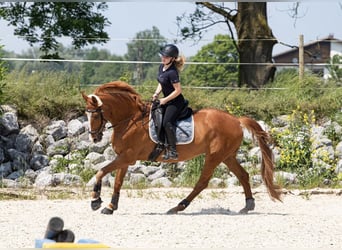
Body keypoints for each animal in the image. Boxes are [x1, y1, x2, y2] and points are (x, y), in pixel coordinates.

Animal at [82, 81, 280, 214]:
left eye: (95, 115)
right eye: (86, 114)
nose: (94, 137)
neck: (131, 120)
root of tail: (236, 120)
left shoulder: (127, 157)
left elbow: (100, 171)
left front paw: (95, 201)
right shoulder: (124, 158)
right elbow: (117, 182)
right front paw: (110, 206)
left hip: (214, 156)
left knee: (202, 182)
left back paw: (178, 206)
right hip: (227, 156)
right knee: (243, 175)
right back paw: (248, 205)